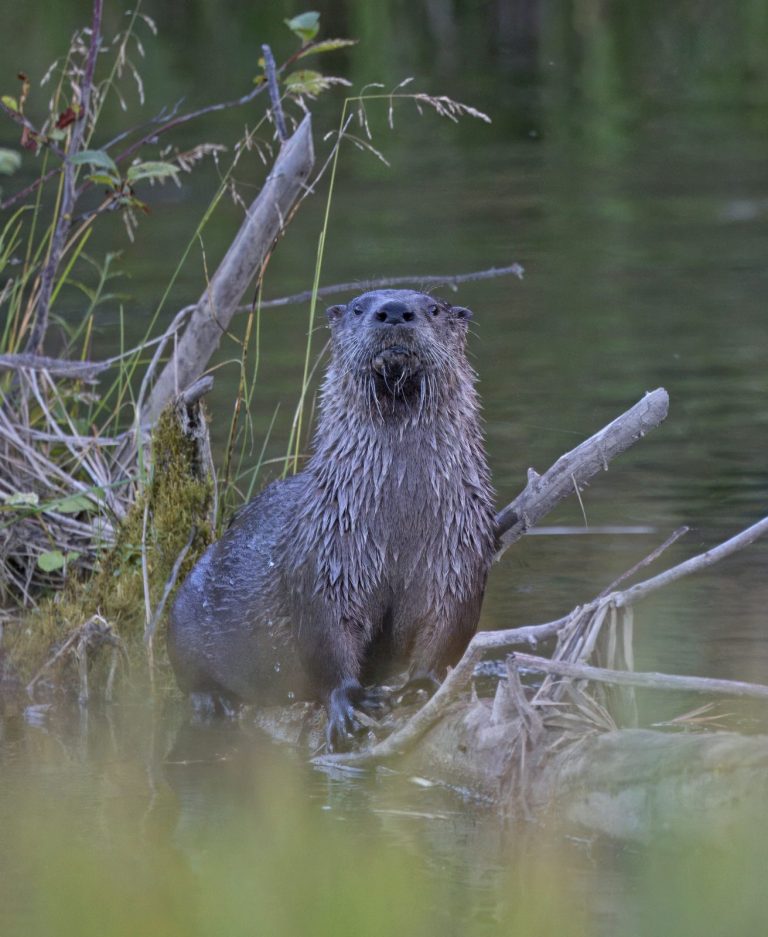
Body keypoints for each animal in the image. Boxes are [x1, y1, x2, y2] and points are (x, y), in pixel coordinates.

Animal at [167, 289, 497, 749]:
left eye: (432, 308)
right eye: (359, 307)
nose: (395, 311)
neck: (398, 524)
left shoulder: (460, 551)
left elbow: (449, 623)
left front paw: (421, 685)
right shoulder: (325, 553)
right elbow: (326, 636)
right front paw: (347, 701)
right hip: (184, 608)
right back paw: (211, 701)